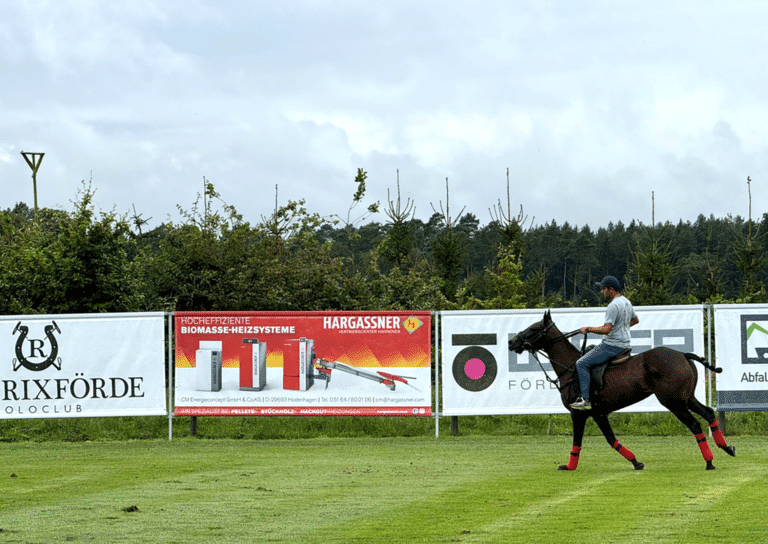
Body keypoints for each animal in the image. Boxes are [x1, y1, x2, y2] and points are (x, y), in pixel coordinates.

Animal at [508, 312, 736, 470]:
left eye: (534, 328)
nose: (511, 342)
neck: (570, 367)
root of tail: (683, 354)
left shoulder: (580, 413)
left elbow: (581, 441)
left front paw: (569, 466)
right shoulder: (598, 414)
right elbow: (609, 439)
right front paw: (636, 462)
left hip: (673, 402)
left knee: (695, 424)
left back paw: (709, 461)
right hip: (687, 397)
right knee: (708, 413)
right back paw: (727, 448)